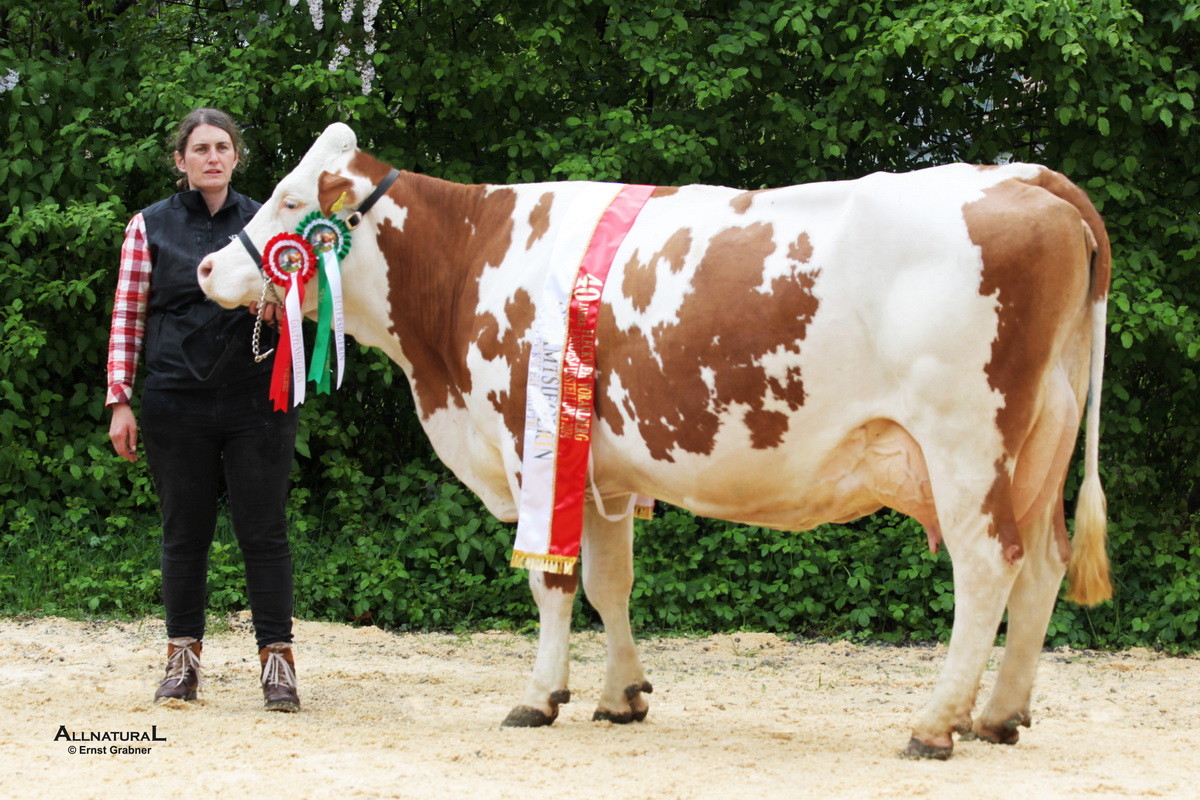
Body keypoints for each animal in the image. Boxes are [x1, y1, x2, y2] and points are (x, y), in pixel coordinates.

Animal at [194, 122, 1104, 762]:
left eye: (287, 201)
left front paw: (539, 696)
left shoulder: (531, 448)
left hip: (966, 442)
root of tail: (1024, 176)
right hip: (1043, 443)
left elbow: (552, 584)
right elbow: (609, 582)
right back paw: (999, 716)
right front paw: (619, 696)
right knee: (1045, 563)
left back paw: (935, 722)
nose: (205, 270)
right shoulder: (602, 469)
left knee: (988, 565)